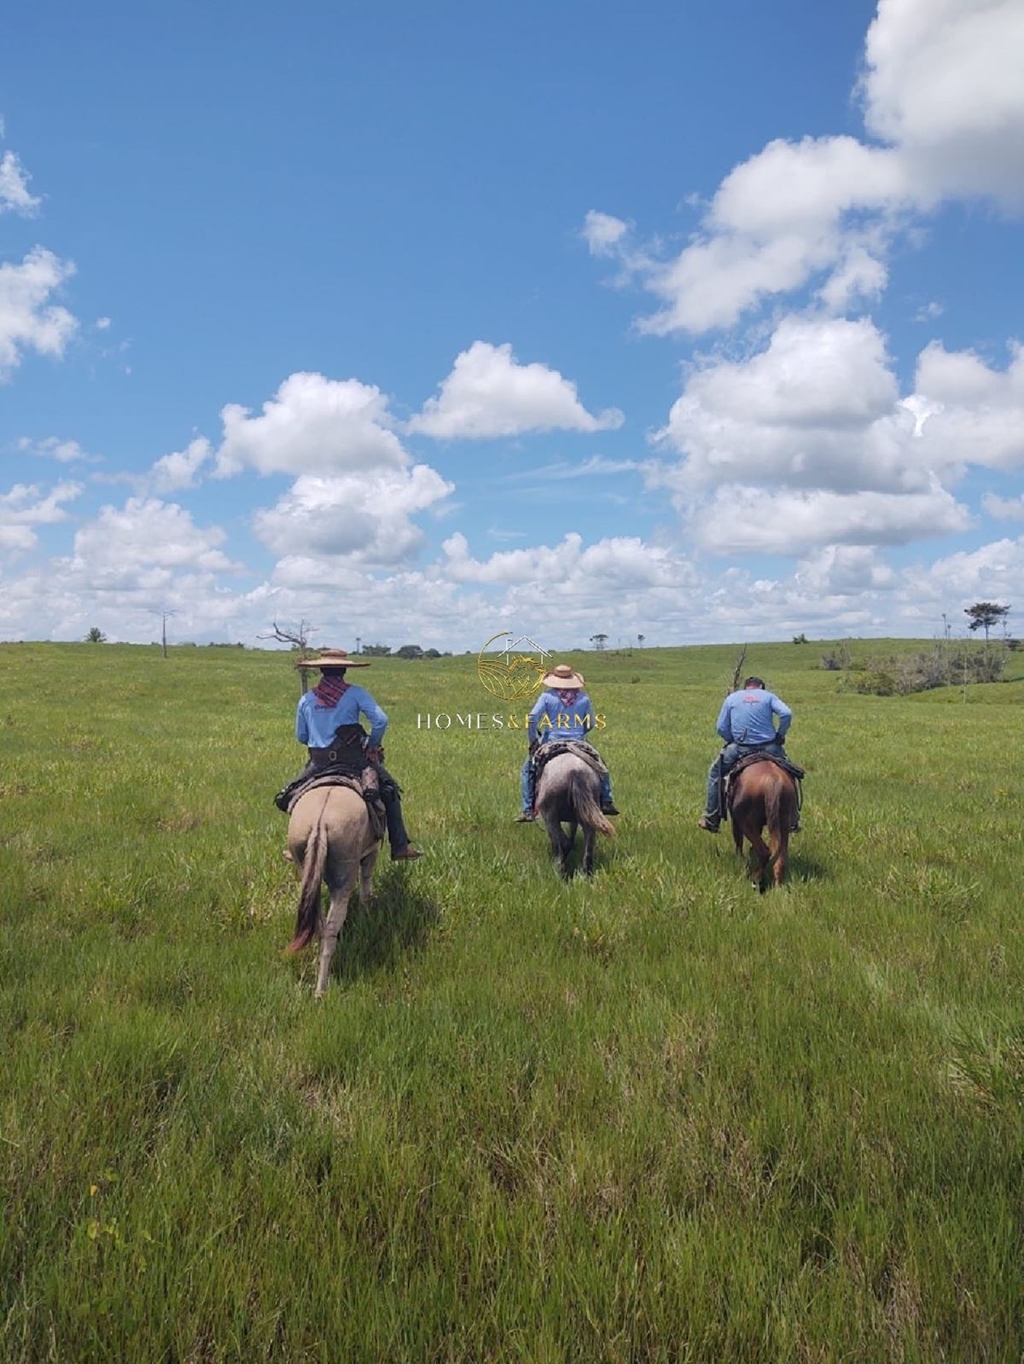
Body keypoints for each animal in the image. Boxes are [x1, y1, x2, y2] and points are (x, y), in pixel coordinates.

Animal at [284, 785, 381, 998]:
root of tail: (320, 822)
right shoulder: (371, 852)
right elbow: (366, 888)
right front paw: (368, 918)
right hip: (344, 879)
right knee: (330, 931)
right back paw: (321, 990)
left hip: (305, 866)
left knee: (319, 926)